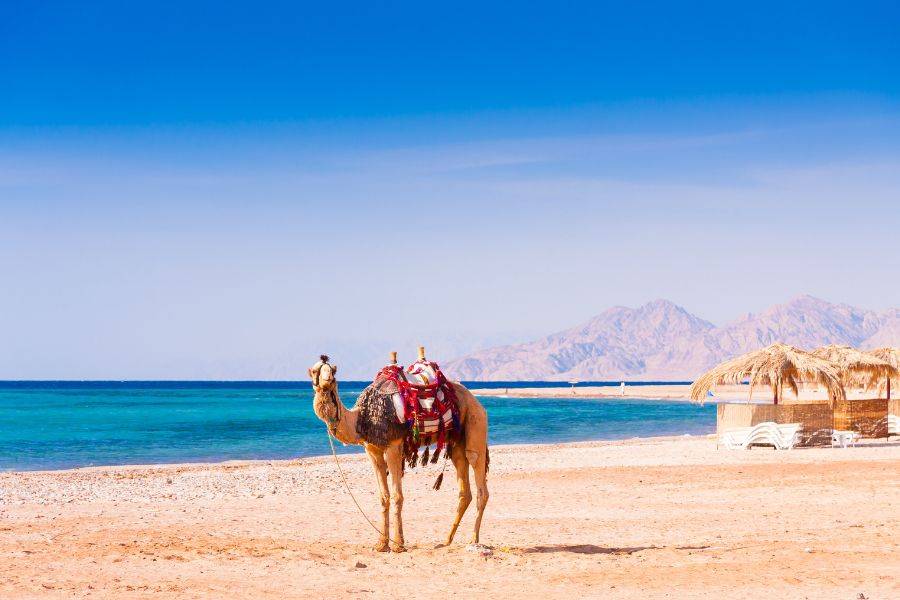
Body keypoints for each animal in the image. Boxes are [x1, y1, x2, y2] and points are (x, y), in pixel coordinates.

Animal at [308, 353, 489, 553]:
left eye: (332, 372)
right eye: (315, 371)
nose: (327, 380)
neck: (361, 418)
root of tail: (474, 399)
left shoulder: (393, 446)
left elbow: (397, 496)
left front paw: (398, 544)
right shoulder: (372, 450)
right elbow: (383, 496)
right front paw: (381, 544)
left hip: (475, 420)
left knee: (478, 471)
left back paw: (474, 540)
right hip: (456, 441)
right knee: (464, 488)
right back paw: (446, 540)